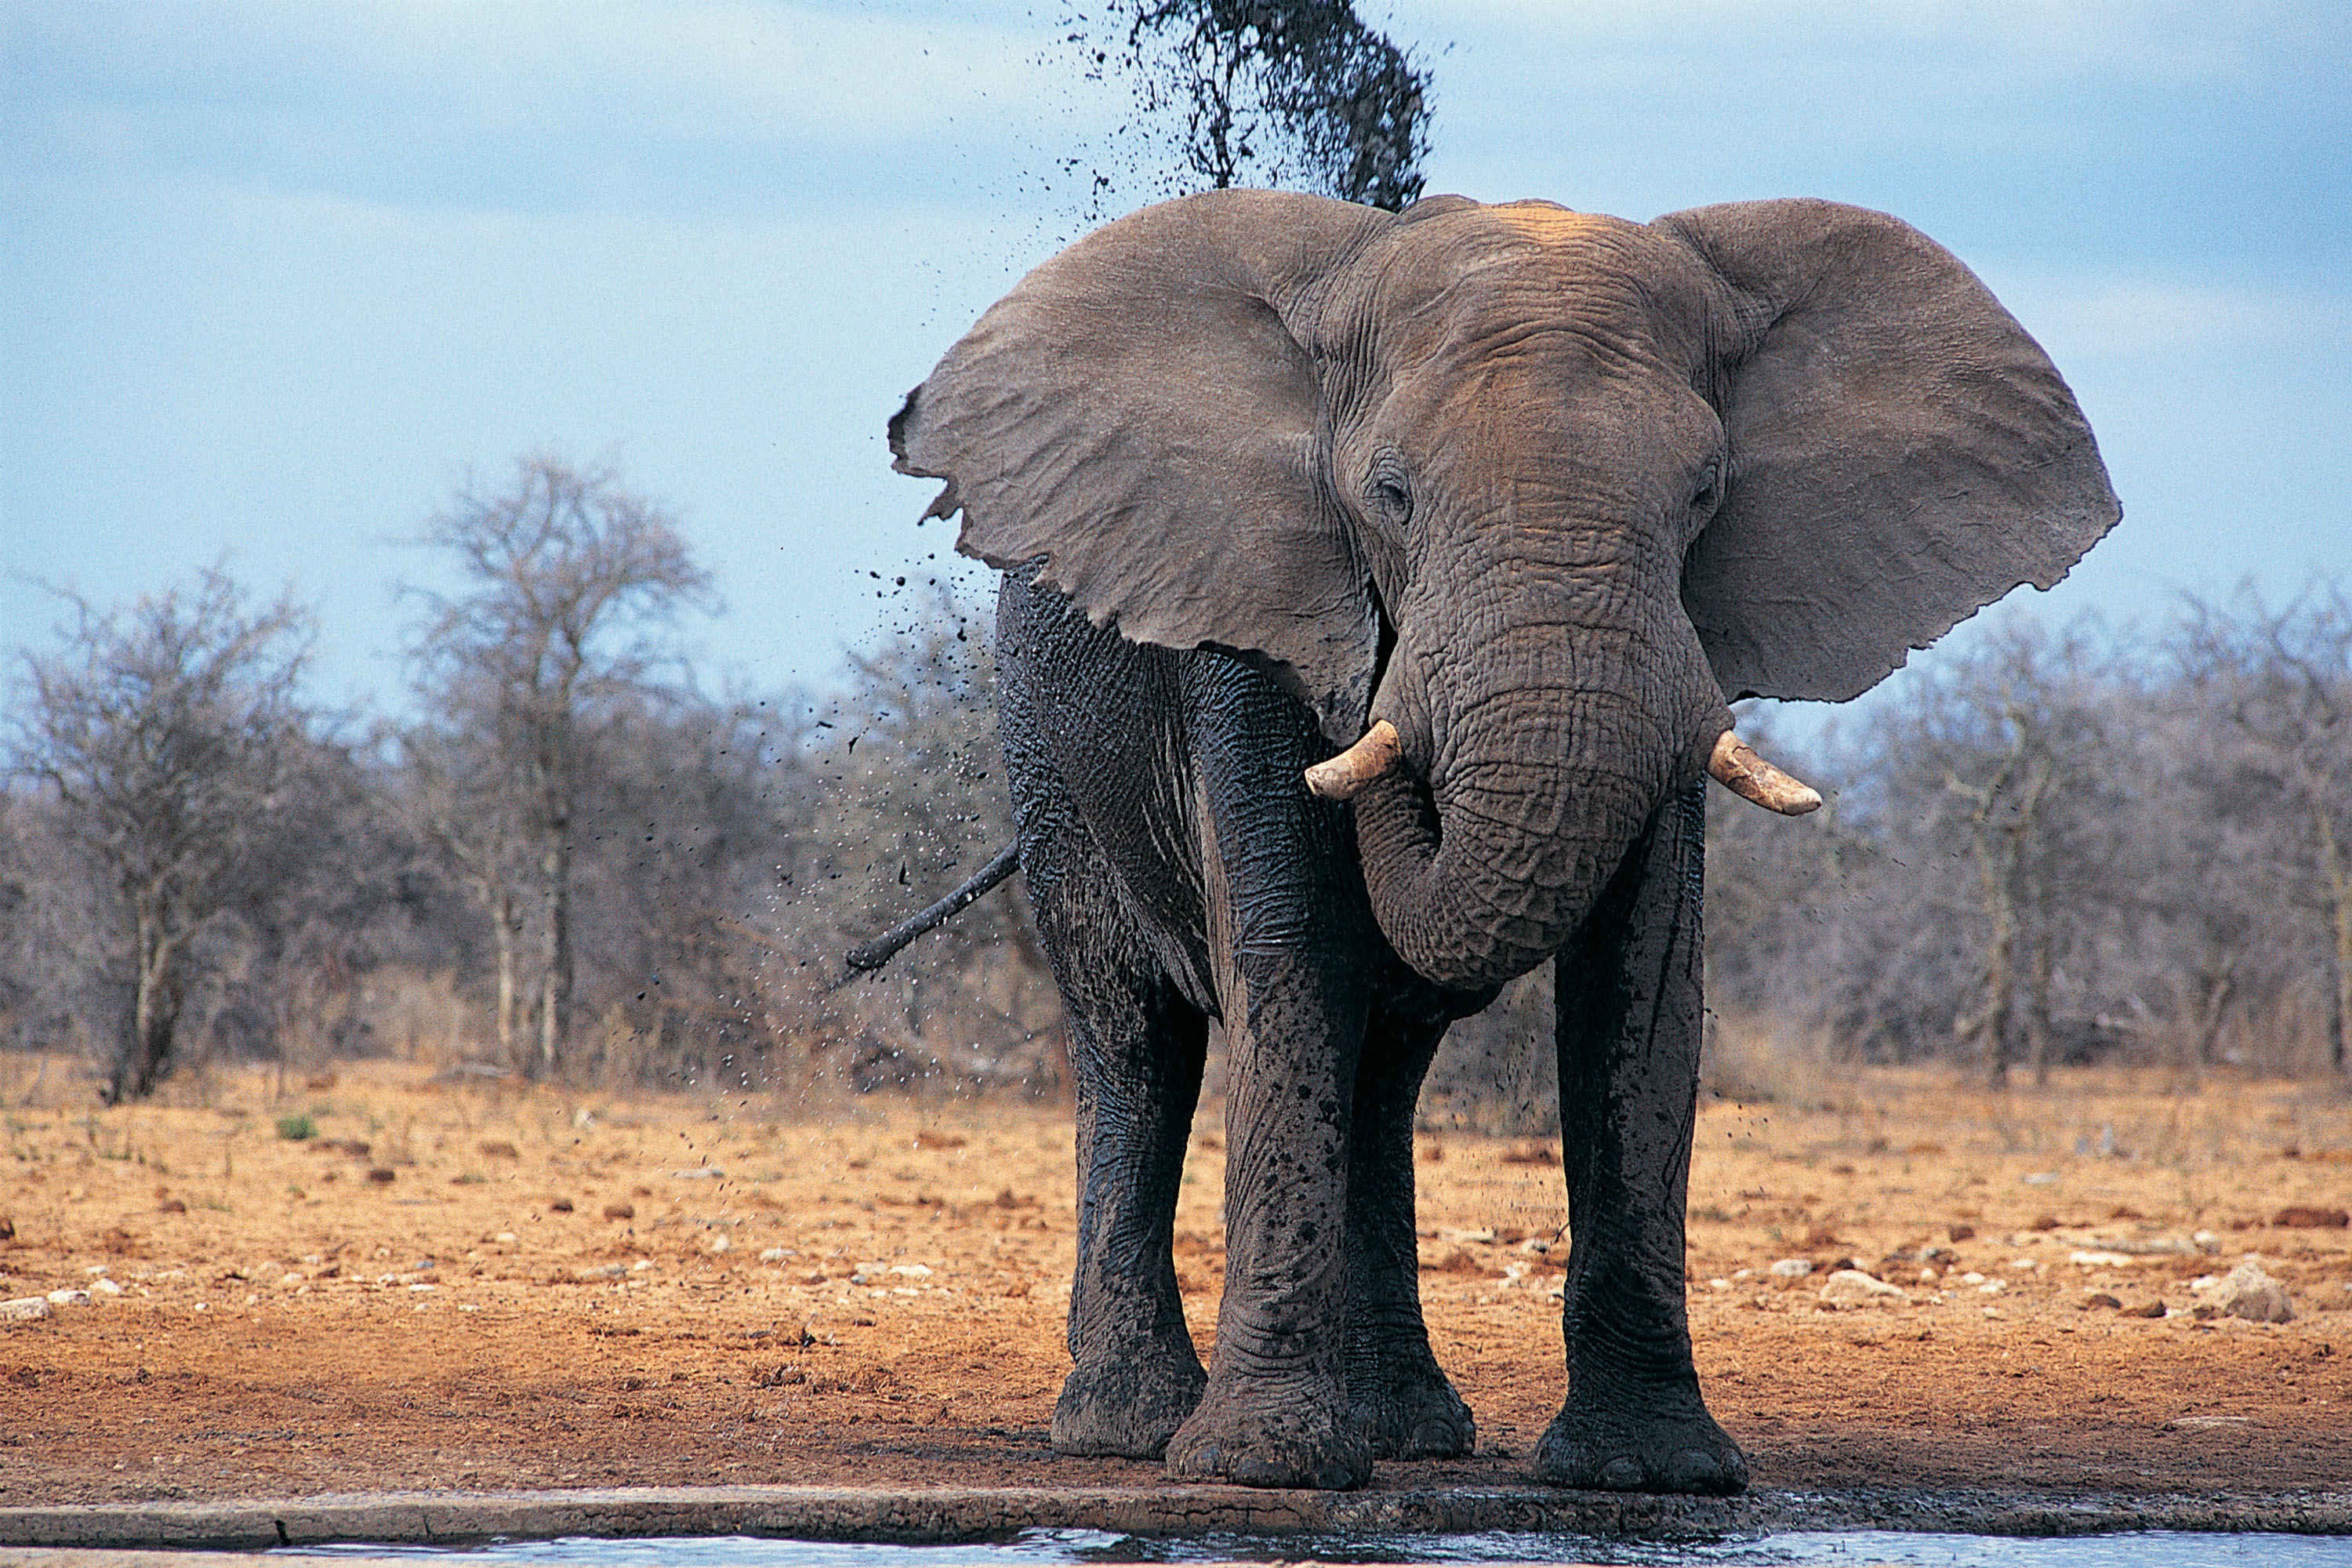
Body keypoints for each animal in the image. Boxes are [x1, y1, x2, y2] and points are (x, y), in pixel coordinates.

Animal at [886, 189, 2118, 1493]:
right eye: (1388, 496)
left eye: (1703, 496)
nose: (1382, 689)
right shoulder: (1249, 634)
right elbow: (1290, 959)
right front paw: (1263, 1468)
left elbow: (1642, 984)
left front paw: (1653, 1473)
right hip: (1048, 763)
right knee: (1139, 1050)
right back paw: (1130, 1430)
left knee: (1382, 1072)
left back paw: (1410, 1432)